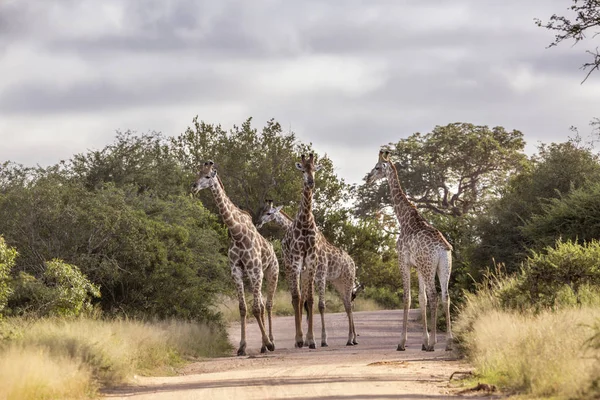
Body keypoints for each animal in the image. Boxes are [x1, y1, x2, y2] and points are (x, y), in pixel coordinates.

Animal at [191, 161, 280, 354]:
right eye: (197, 173)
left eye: (207, 176)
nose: (193, 186)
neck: (237, 233)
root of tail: (273, 250)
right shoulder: (236, 272)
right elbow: (243, 308)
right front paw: (242, 347)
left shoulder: (255, 271)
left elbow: (256, 308)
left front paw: (268, 343)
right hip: (255, 277)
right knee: (262, 305)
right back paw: (263, 346)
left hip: (271, 273)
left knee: (268, 305)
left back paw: (271, 342)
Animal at [256, 200, 358, 346]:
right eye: (261, 211)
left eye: (269, 213)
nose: (258, 222)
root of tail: (353, 262)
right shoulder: (304, 273)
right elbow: (302, 301)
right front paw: (304, 340)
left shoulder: (319, 274)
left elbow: (319, 305)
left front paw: (320, 340)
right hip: (338, 282)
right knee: (347, 304)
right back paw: (353, 338)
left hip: (347, 279)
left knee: (349, 305)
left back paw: (350, 339)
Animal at [366, 149, 454, 350]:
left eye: (377, 167)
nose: (368, 179)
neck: (405, 219)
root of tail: (442, 248)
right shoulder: (418, 267)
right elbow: (421, 299)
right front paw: (424, 340)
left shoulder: (403, 262)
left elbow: (407, 298)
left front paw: (402, 342)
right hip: (444, 267)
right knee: (445, 296)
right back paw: (448, 342)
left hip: (429, 267)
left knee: (435, 295)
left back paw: (434, 344)